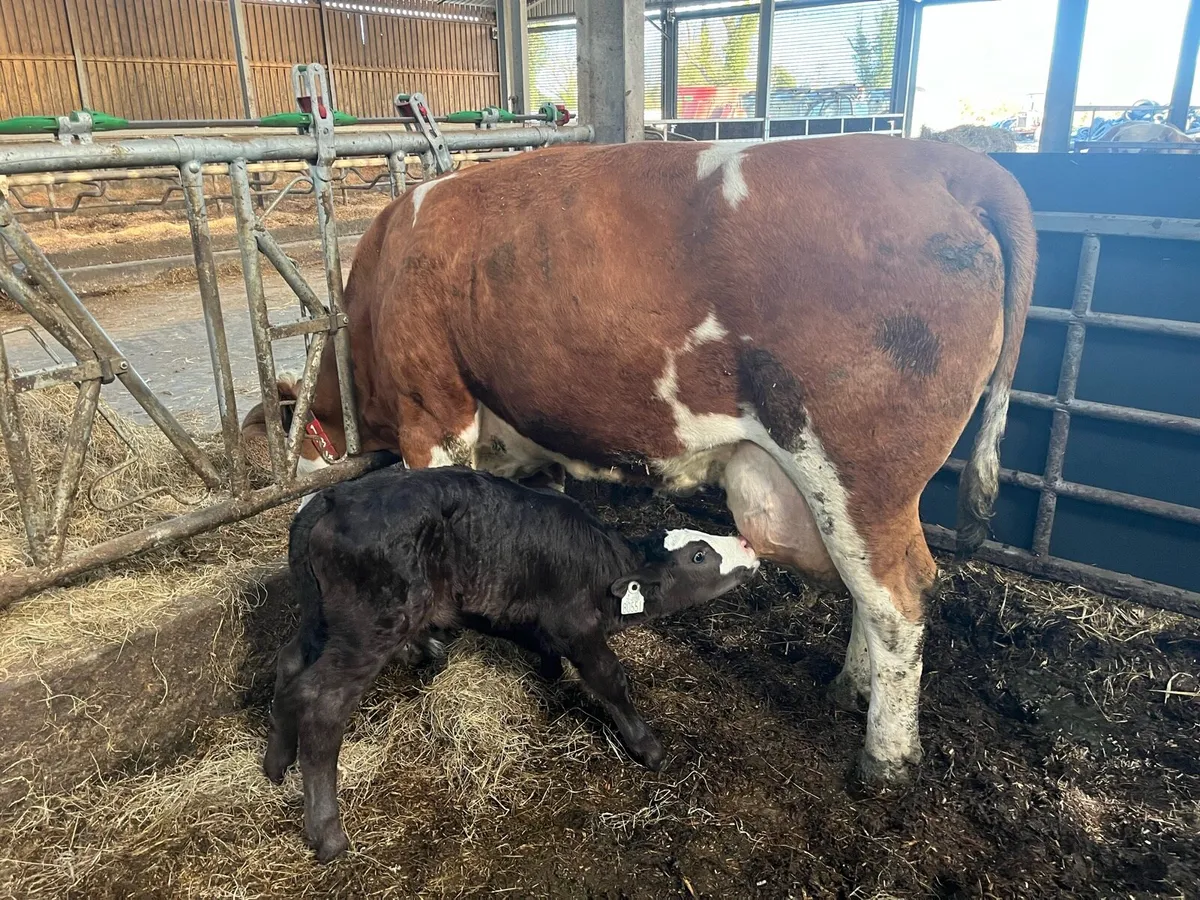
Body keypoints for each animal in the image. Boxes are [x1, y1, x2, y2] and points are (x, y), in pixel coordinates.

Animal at [243, 135, 1038, 787]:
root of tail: (943, 162)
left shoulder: (433, 413)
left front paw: (434, 645)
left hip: (857, 470)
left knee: (897, 597)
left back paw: (885, 759)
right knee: (872, 591)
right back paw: (850, 687)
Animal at [264, 464, 760, 861]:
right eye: (699, 555)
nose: (749, 545)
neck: (601, 567)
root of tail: (335, 494)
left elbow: (546, 654)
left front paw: (550, 675)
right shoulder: (578, 628)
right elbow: (611, 679)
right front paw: (648, 747)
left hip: (320, 614)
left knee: (289, 665)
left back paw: (275, 765)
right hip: (373, 623)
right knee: (321, 700)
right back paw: (328, 833)